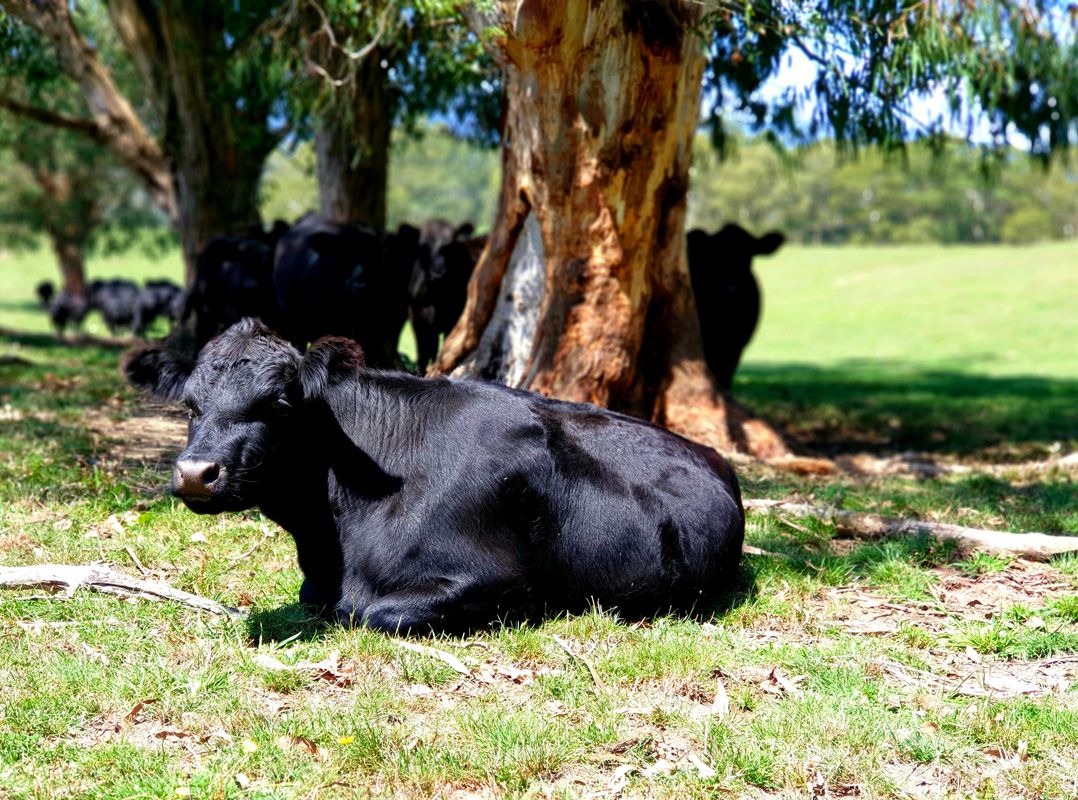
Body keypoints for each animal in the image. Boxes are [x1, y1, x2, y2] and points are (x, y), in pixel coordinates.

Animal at [123, 318, 745, 634]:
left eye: (279, 403)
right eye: (190, 407)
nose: (196, 473)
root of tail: (712, 457)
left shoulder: (495, 580)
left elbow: (370, 612)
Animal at [408, 220, 485, 370]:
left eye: (450, 245)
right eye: (423, 247)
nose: (437, 273)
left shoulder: (454, 322)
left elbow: (444, 353)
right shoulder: (418, 323)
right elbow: (423, 357)